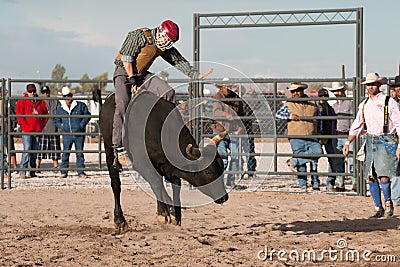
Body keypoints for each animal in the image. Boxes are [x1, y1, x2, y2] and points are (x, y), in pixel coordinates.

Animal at [98, 91, 228, 233]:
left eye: (222, 168)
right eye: (207, 172)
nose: (224, 197)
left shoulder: (168, 166)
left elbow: (175, 185)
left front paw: (174, 214)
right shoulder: (142, 164)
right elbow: (156, 183)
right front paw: (163, 214)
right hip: (109, 150)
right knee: (116, 184)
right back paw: (120, 220)